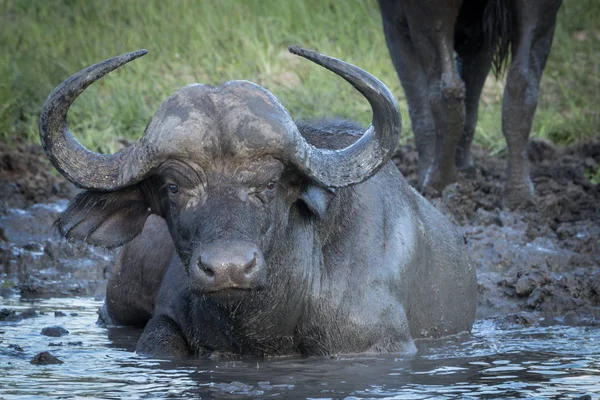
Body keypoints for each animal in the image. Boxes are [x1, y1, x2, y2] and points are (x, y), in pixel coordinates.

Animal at [380, 0, 564, 206]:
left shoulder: (394, 24)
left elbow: (420, 108)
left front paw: (425, 176)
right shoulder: (480, 36)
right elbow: (471, 100)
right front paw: (467, 169)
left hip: (427, 17)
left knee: (446, 90)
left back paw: (437, 183)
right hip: (541, 15)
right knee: (521, 84)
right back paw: (518, 196)